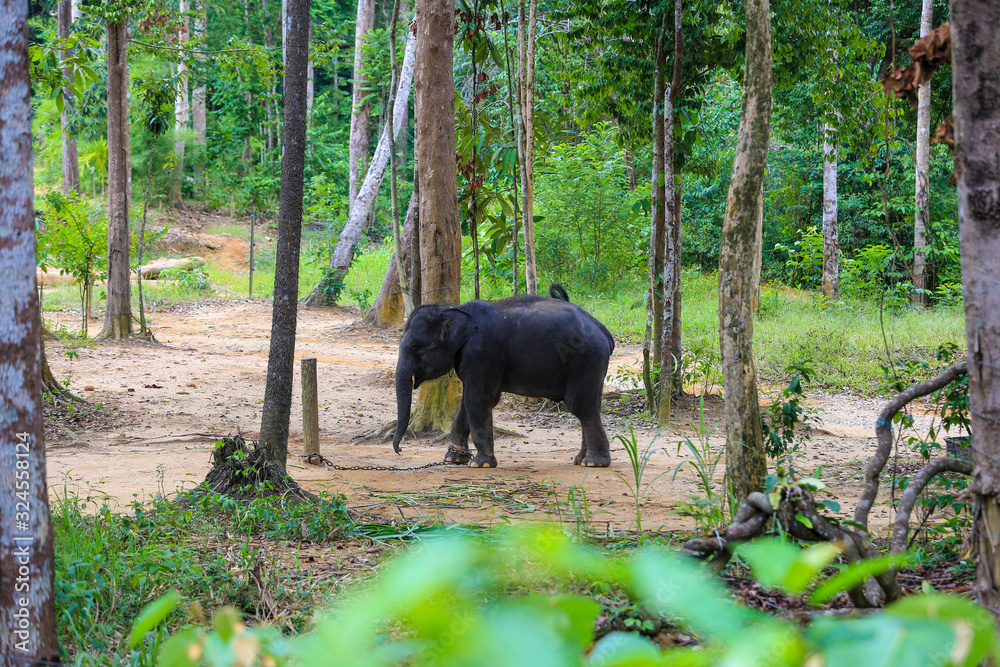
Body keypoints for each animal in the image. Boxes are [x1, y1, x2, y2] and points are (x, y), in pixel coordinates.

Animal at [392, 285, 615, 468]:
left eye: (414, 347)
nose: (400, 450)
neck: (454, 309)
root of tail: (604, 331)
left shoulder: (482, 353)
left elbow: (477, 399)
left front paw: (480, 464)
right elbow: (468, 402)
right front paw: (453, 459)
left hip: (585, 361)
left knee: (581, 406)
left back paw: (594, 463)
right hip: (592, 365)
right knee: (592, 404)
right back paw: (580, 460)